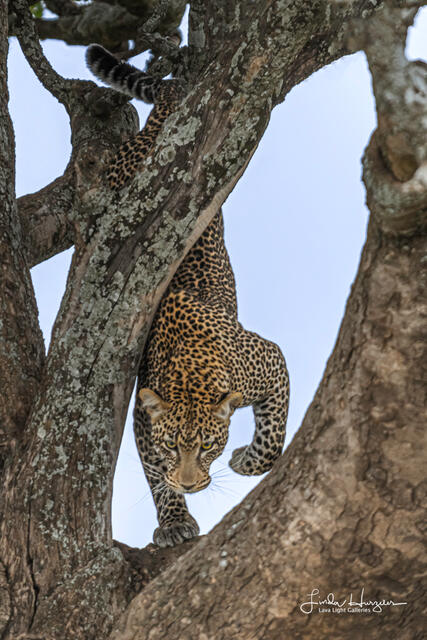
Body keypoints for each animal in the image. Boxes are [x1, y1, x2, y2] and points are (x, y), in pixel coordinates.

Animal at [87, 45, 290, 547]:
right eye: (172, 444)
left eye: (210, 445)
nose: (192, 484)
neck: (192, 371)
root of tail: (177, 89)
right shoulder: (143, 418)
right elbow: (152, 471)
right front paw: (174, 519)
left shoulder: (270, 361)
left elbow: (274, 436)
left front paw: (246, 460)